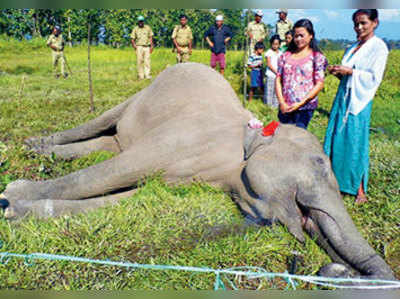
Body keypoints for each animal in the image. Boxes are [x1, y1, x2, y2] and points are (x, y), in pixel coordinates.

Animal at [0, 62, 394, 282]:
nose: (330, 270)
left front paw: (19, 211)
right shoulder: (185, 137)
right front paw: (11, 199)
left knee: (108, 143)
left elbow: (137, 193)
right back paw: (33, 146)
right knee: (104, 125)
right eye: (320, 163)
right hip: (142, 93)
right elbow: (120, 171)